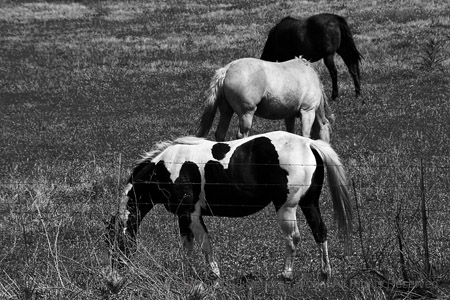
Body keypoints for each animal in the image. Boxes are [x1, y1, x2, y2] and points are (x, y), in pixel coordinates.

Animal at [107, 131, 354, 282]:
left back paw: (286, 275)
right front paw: (187, 274)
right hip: (309, 203)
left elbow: (204, 244)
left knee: (293, 238)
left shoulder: (192, 214)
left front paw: (214, 275)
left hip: (287, 207)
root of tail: (309, 143)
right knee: (320, 232)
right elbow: (187, 246)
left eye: (115, 240)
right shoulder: (184, 216)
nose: (114, 276)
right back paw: (324, 274)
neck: (168, 168)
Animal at [195, 58, 332, 143]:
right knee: (241, 135)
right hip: (246, 113)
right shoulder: (307, 111)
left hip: (226, 111)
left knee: (220, 133)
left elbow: (291, 133)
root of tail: (227, 69)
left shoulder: (289, 116)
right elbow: (305, 135)